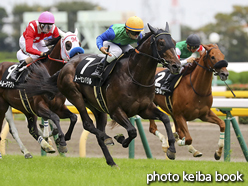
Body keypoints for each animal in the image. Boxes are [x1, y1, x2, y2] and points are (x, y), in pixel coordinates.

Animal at [0, 29, 80, 157]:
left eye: (80, 43)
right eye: (68, 44)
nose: (78, 61)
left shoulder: (58, 107)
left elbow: (73, 117)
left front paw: (61, 139)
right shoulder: (39, 106)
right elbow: (55, 117)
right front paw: (61, 140)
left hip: (25, 108)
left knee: (32, 129)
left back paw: (44, 146)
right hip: (4, 106)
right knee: (13, 129)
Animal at [19, 23, 181, 167]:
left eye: (173, 42)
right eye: (161, 43)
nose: (177, 66)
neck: (134, 75)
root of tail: (67, 65)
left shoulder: (144, 109)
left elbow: (165, 118)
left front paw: (172, 150)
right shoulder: (116, 111)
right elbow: (132, 131)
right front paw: (120, 139)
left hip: (98, 108)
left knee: (96, 133)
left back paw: (111, 161)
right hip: (75, 96)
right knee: (87, 124)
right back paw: (103, 138)